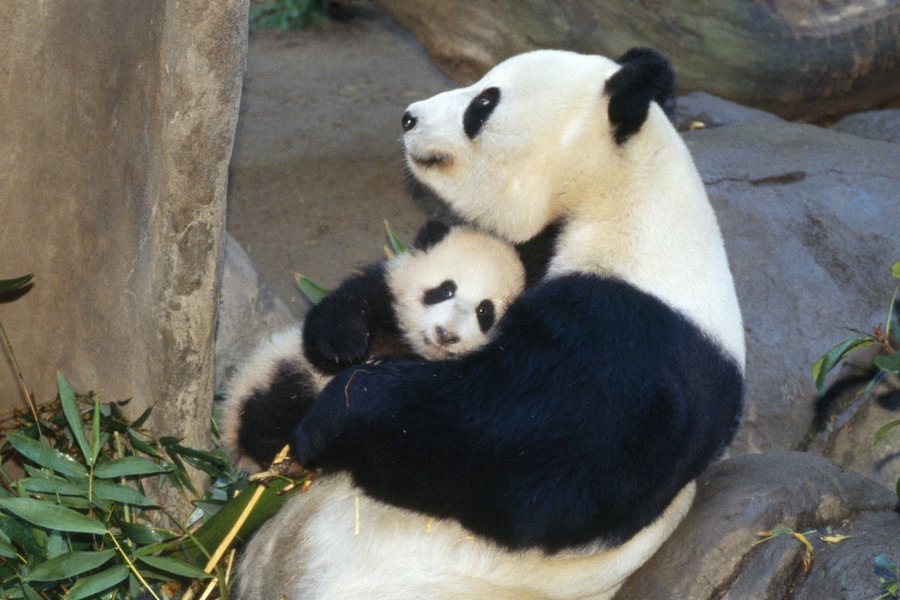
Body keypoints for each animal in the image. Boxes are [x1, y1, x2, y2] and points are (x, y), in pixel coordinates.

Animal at [221, 220, 524, 474]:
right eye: (445, 290)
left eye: (484, 311)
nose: (446, 334)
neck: (411, 345)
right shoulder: (384, 293)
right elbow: (336, 312)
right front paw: (345, 347)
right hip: (277, 376)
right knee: (270, 408)